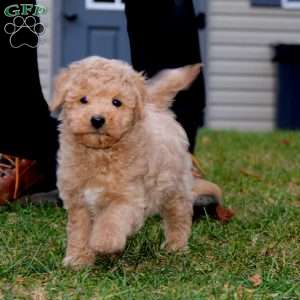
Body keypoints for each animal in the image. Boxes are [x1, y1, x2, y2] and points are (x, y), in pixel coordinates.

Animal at [51, 57, 225, 268]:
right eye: (83, 99)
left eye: (116, 102)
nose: (98, 119)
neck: (100, 154)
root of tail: (156, 107)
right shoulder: (78, 201)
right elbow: (79, 231)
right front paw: (78, 260)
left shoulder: (128, 198)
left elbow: (112, 219)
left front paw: (103, 242)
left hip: (176, 186)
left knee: (179, 216)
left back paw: (175, 246)